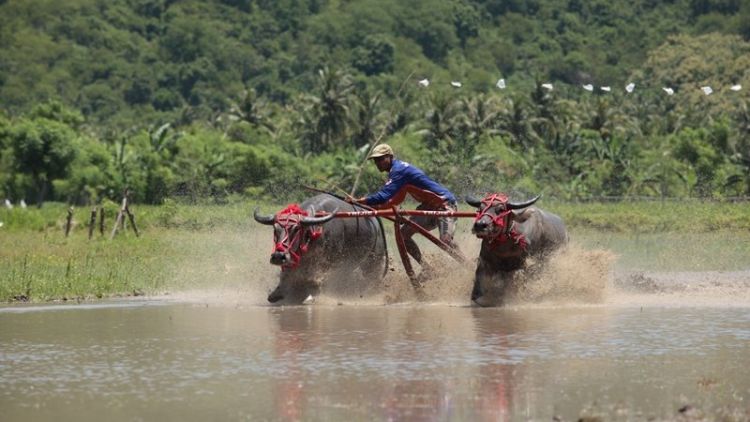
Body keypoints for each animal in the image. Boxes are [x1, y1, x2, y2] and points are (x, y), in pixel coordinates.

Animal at [258, 195, 390, 304]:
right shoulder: (297, 258)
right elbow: (286, 275)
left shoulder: (330, 262)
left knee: (371, 277)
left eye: (296, 229)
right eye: (275, 229)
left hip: (374, 261)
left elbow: (318, 279)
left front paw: (310, 295)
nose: (278, 256)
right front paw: (277, 294)